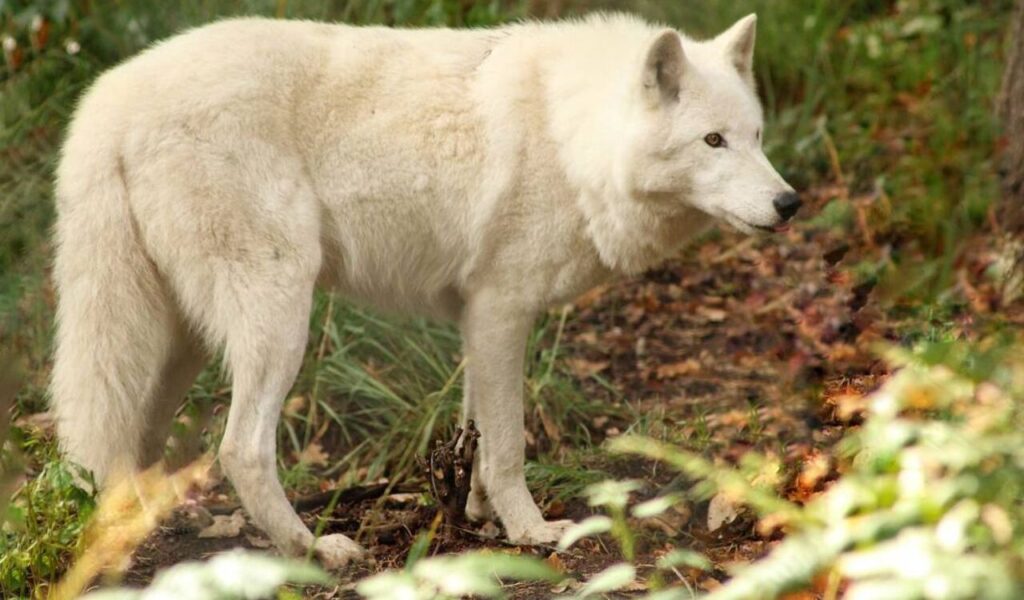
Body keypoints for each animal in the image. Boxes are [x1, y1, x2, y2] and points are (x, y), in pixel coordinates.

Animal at [51, 12, 799, 567]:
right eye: (713, 141)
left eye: (757, 136)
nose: (788, 202)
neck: (570, 136)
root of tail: (108, 98)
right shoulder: (500, 310)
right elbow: (509, 444)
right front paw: (531, 531)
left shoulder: (476, 319)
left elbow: (474, 437)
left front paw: (475, 516)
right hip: (278, 316)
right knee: (240, 449)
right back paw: (311, 550)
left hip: (174, 343)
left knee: (132, 442)